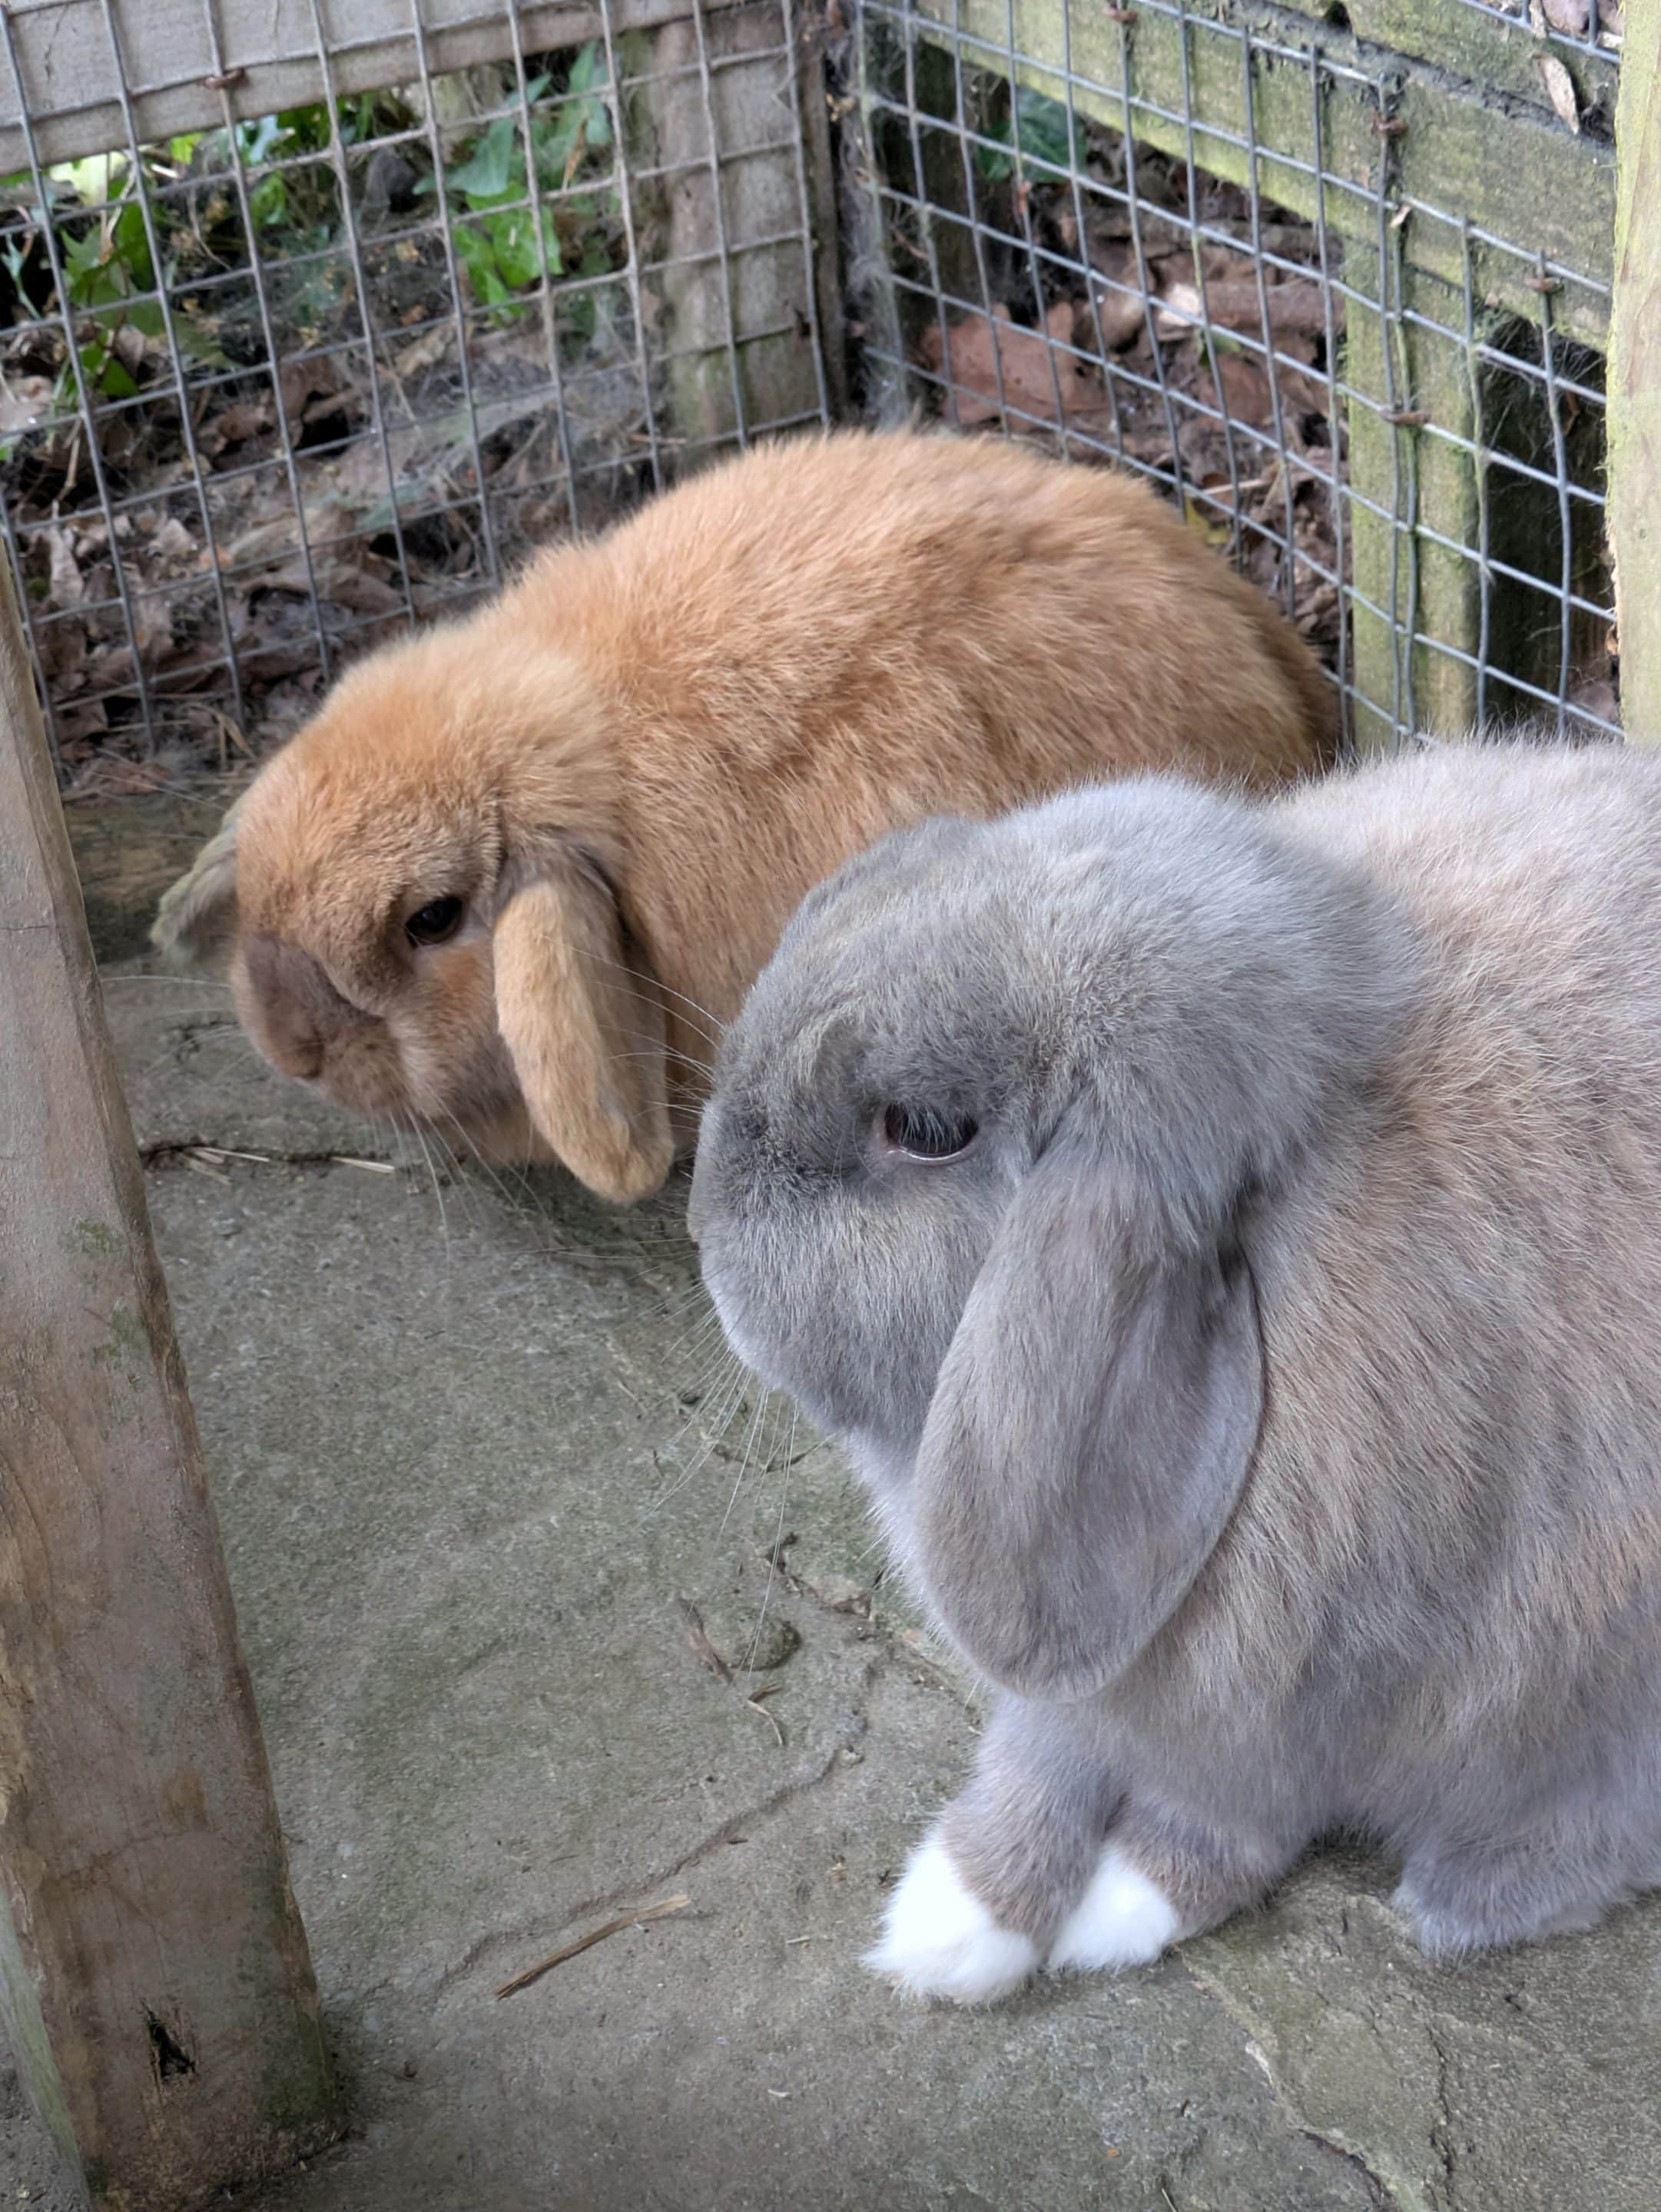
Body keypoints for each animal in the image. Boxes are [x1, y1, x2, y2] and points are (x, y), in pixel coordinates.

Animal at [689, 734, 1661, 2003]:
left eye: (924, 1129)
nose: (697, 1226)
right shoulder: (1099, 1672)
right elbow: (1039, 1757)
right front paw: (950, 1923)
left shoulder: (1291, 1702)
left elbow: (1219, 1826)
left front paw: (1109, 1912)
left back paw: (1466, 1898)